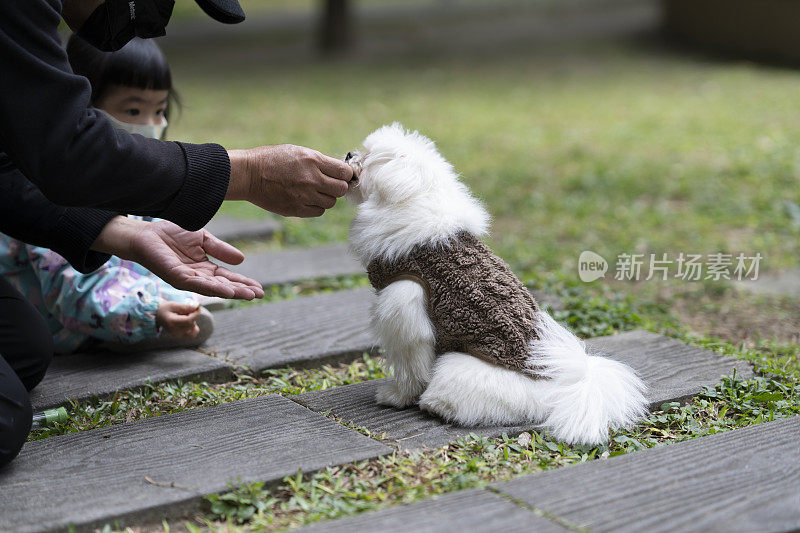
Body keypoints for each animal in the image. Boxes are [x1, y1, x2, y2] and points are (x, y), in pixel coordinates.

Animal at [346, 122, 648, 442]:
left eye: (368, 158)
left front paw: (396, 397)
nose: (349, 154)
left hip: (455, 367)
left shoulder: (403, 313)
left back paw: (436, 405)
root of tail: (563, 386)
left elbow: (409, 369)